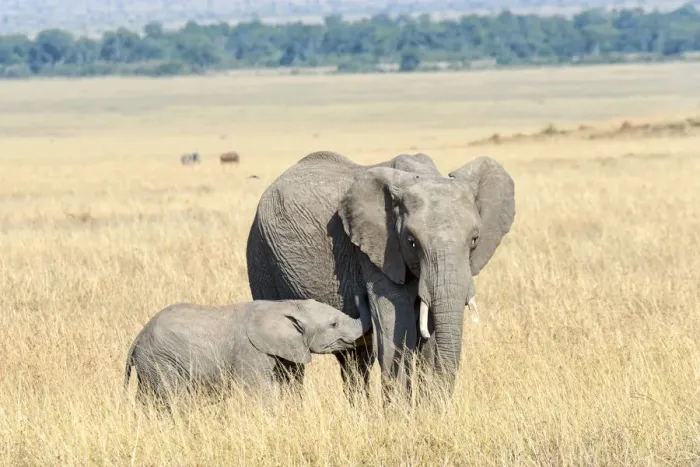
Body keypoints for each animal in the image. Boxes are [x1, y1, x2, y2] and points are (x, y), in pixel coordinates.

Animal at [123, 298, 371, 409]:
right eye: (334, 324)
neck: (287, 305)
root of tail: (137, 339)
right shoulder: (251, 351)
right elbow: (259, 391)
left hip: (151, 363)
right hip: (161, 360)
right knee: (174, 397)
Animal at [245, 151, 515, 400]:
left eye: (474, 240)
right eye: (411, 242)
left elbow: (428, 338)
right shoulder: (376, 252)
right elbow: (397, 329)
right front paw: (401, 417)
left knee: (354, 360)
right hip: (261, 256)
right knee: (291, 363)